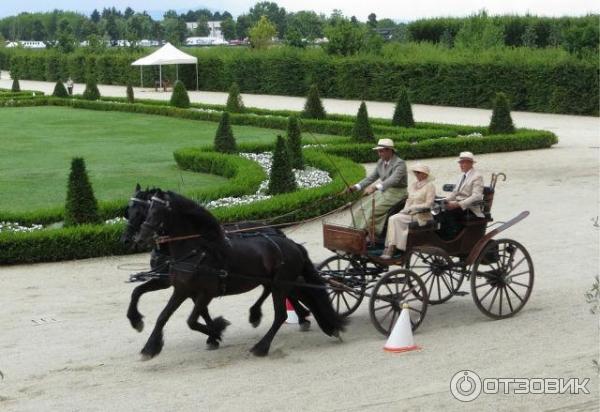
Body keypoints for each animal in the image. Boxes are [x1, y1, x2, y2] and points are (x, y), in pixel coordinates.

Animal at [119, 184, 312, 342]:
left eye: (140, 212)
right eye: (127, 212)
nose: (128, 240)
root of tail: (272, 229)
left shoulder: (176, 283)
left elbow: (199, 310)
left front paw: (214, 333)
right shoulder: (170, 281)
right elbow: (137, 291)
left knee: (283, 290)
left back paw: (296, 315)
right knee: (273, 289)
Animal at [134, 190, 344, 358]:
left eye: (157, 210)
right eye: (147, 209)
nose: (141, 235)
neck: (196, 251)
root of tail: (293, 244)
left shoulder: (206, 293)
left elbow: (192, 320)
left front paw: (217, 330)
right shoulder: (181, 289)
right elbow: (163, 316)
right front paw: (150, 347)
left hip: (281, 283)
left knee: (281, 315)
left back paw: (261, 345)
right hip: (280, 282)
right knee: (302, 297)